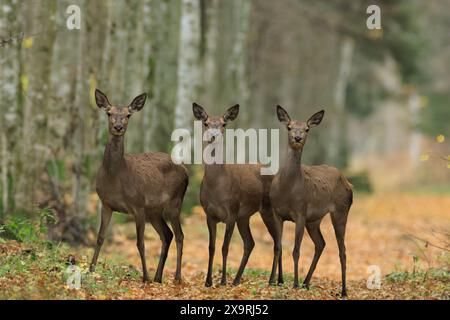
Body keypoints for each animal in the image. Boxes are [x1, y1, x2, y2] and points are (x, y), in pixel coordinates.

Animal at [88, 88, 188, 282]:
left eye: (128, 115)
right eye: (109, 113)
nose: (118, 127)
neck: (115, 177)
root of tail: (186, 171)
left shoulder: (138, 205)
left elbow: (140, 243)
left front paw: (145, 277)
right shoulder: (106, 203)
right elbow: (100, 237)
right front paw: (91, 270)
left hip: (174, 201)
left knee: (179, 235)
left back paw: (177, 277)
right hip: (154, 211)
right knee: (167, 235)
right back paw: (158, 277)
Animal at [192, 103, 284, 288]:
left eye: (223, 124)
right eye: (206, 123)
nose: (213, 136)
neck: (217, 187)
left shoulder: (232, 212)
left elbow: (225, 247)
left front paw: (222, 281)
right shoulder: (209, 214)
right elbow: (211, 247)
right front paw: (208, 281)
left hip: (268, 209)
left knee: (277, 242)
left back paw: (272, 280)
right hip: (245, 216)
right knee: (250, 243)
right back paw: (239, 279)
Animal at [268, 105, 354, 298]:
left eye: (307, 129)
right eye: (289, 127)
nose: (297, 138)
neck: (287, 190)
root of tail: (348, 183)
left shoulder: (300, 213)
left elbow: (296, 250)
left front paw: (294, 284)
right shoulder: (276, 212)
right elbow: (277, 247)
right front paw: (273, 281)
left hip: (341, 210)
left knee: (342, 250)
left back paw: (343, 291)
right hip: (314, 220)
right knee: (321, 243)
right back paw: (306, 282)